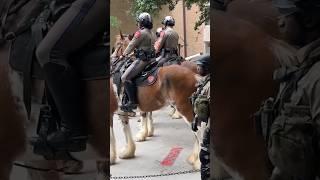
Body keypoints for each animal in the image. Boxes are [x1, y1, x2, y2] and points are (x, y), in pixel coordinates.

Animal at [109, 32, 201, 169]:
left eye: (118, 44)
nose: (113, 56)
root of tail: (194, 75)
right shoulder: (122, 111)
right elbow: (126, 129)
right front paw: (128, 151)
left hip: (185, 108)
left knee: (199, 132)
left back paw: (199, 162)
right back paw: (194, 158)